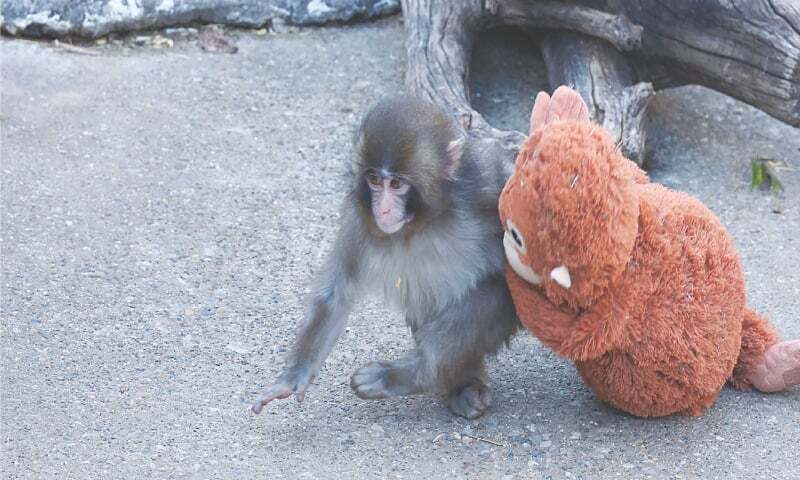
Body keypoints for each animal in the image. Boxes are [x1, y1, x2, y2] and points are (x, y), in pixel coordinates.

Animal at [251, 96, 520, 419]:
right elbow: (336, 294)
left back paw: (410, 375)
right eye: (375, 181)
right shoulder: (359, 217)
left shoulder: (488, 184)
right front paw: (292, 378)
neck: (425, 221)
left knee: (491, 293)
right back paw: (460, 384)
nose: (383, 209)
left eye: (397, 184)